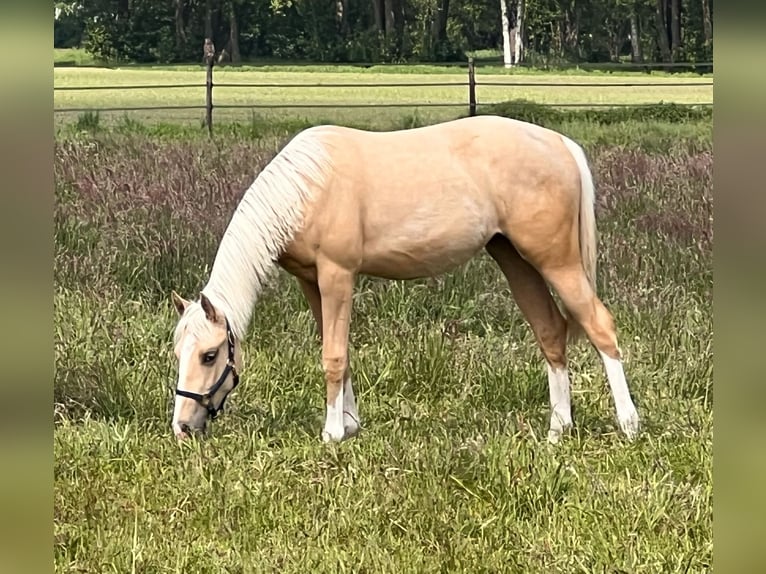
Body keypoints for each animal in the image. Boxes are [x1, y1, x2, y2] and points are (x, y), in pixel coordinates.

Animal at [170, 113, 640, 446]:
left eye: (209, 355)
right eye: (179, 352)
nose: (183, 427)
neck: (309, 187)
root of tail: (560, 143)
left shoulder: (338, 275)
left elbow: (333, 356)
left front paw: (333, 434)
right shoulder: (311, 281)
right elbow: (339, 350)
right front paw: (350, 424)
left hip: (557, 261)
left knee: (600, 326)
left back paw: (629, 424)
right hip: (516, 260)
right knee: (550, 332)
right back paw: (558, 430)